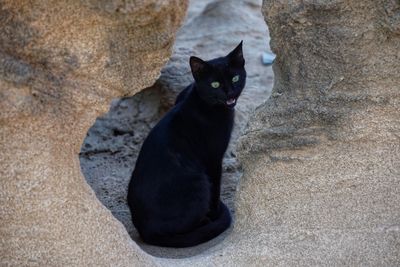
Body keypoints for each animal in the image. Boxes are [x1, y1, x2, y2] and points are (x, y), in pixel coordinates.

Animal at [130, 42, 245, 249]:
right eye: (215, 84)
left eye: (235, 77)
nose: (230, 92)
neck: (201, 100)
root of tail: (145, 231)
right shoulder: (214, 158)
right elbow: (216, 187)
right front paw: (215, 212)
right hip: (199, 182)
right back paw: (207, 221)